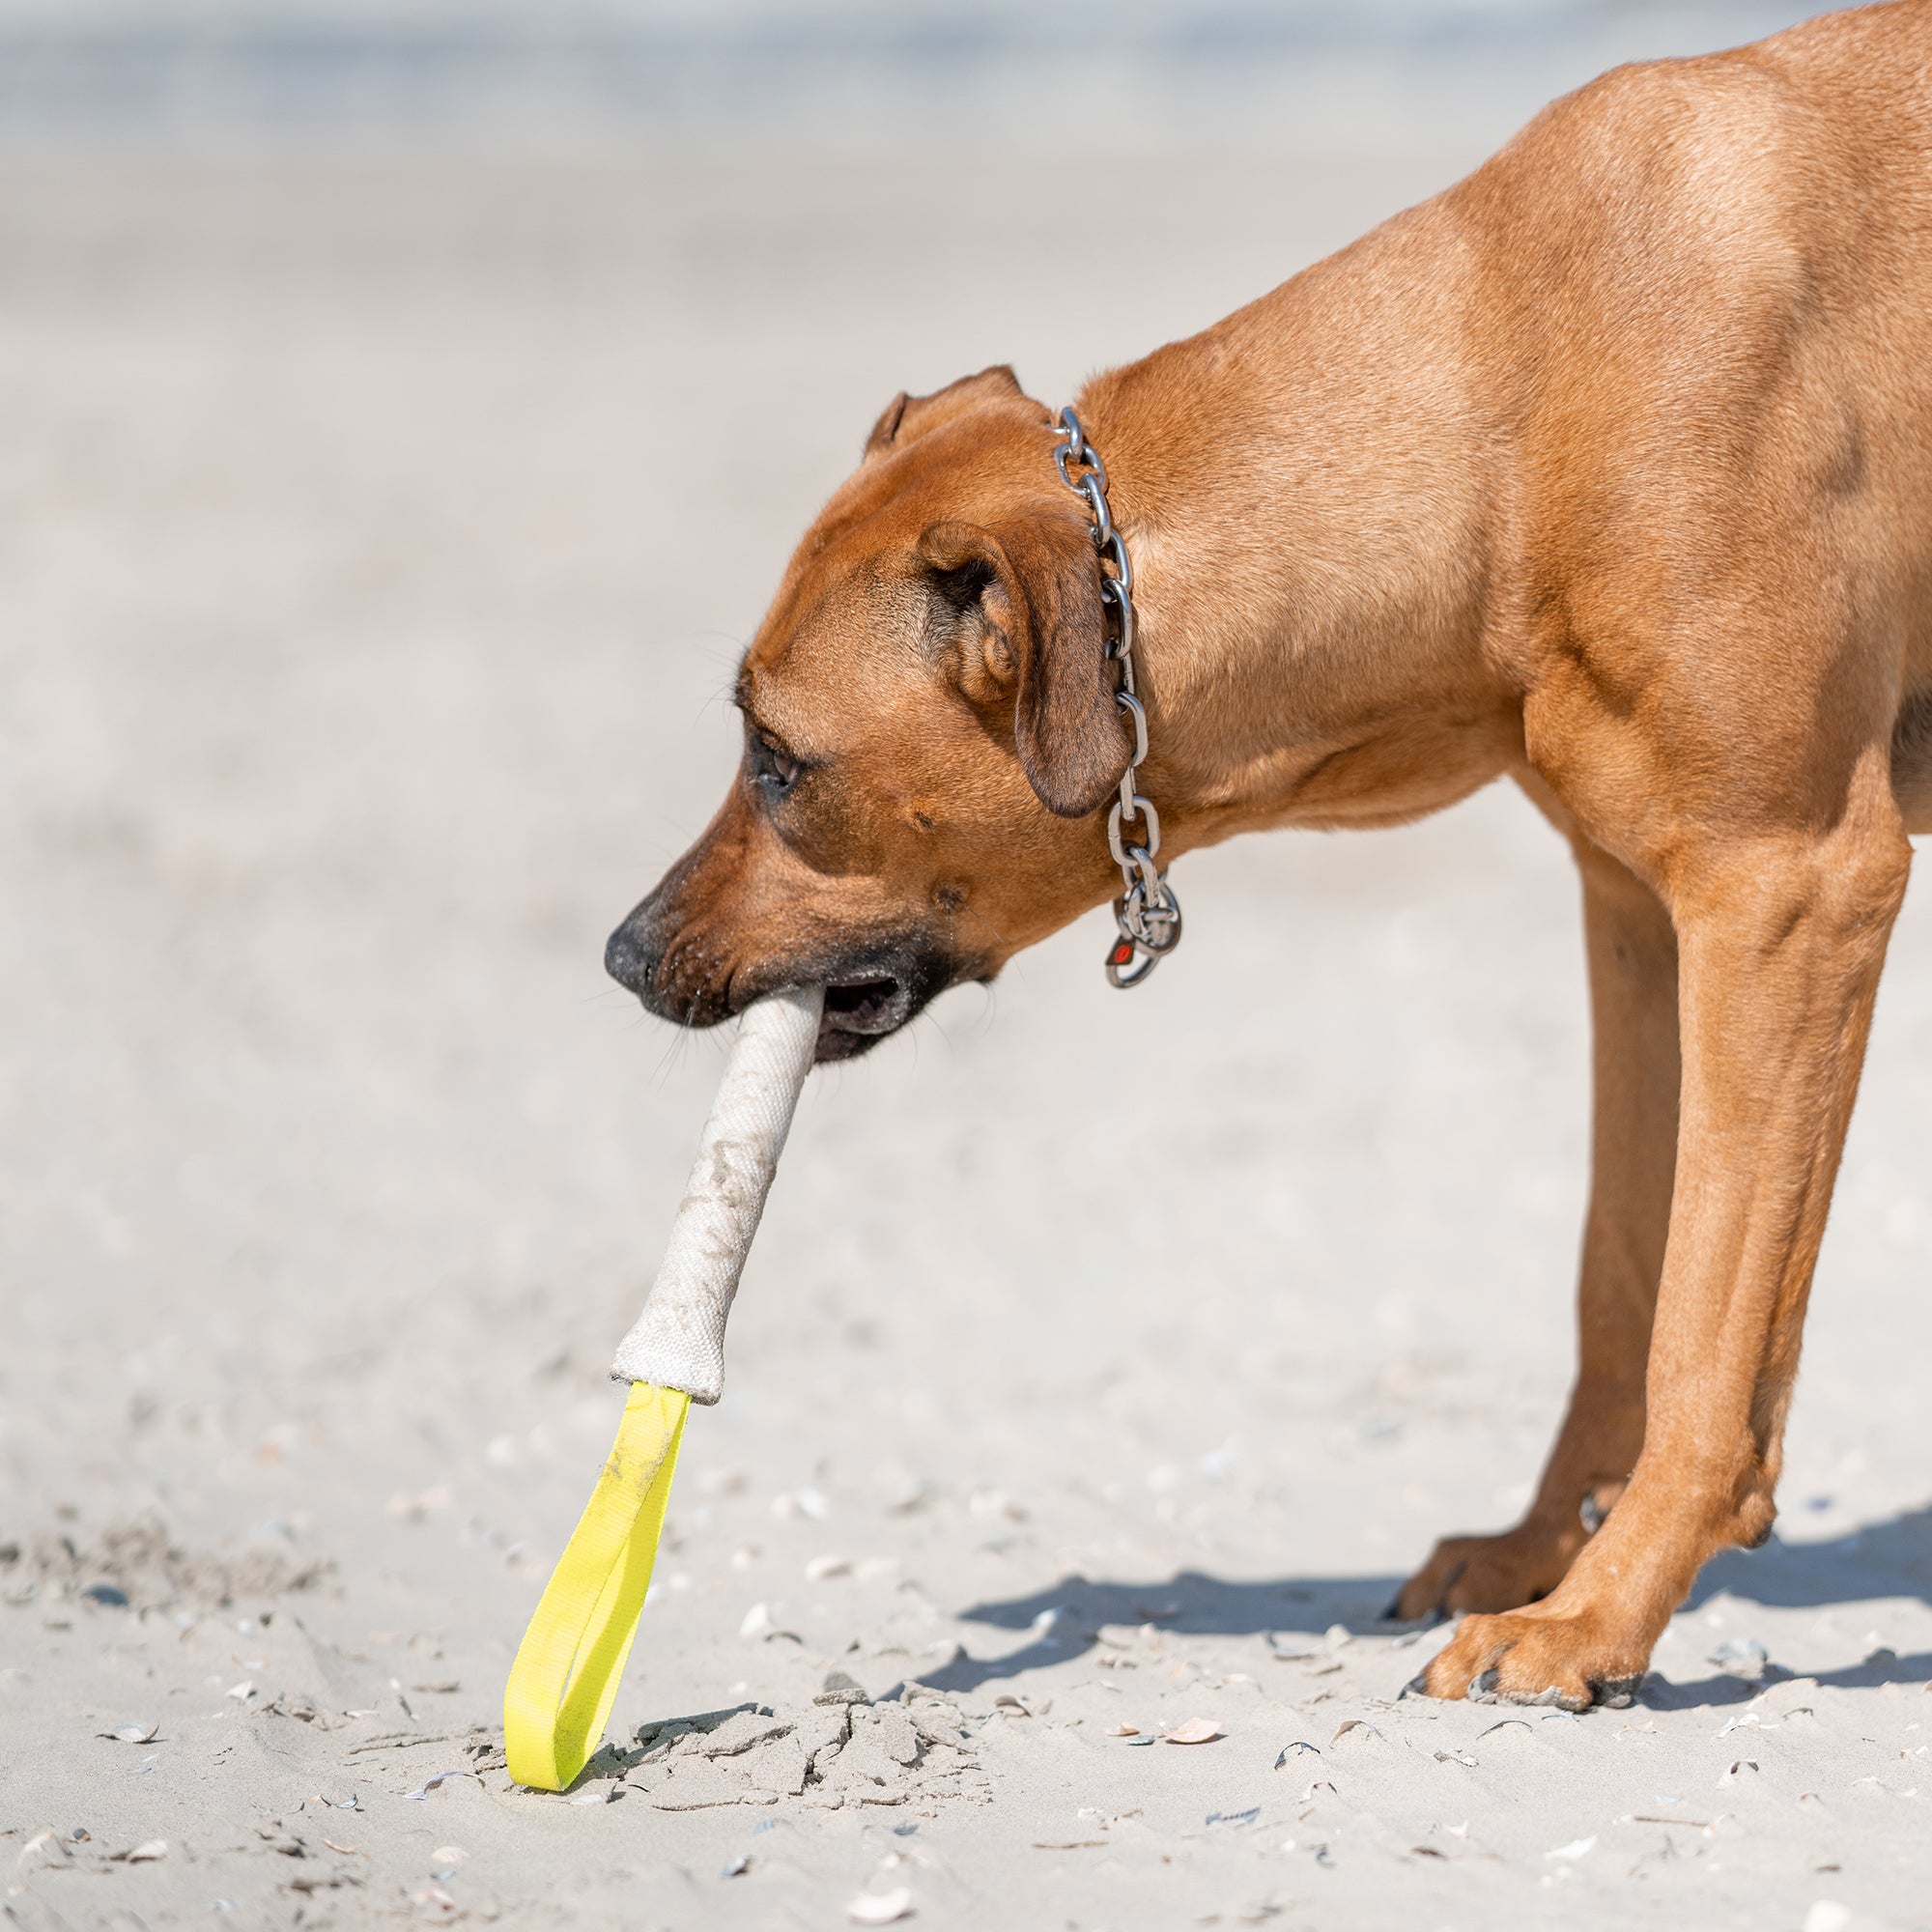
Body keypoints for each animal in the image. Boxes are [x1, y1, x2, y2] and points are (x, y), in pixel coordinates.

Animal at [611, 0, 1932, 1716]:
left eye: (779, 761)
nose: (624, 953)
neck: (1509, 408)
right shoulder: (1643, 912)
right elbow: (1627, 1274)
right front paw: (1549, 1551)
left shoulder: (1788, 889)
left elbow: (1704, 1335)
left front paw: (1598, 1614)